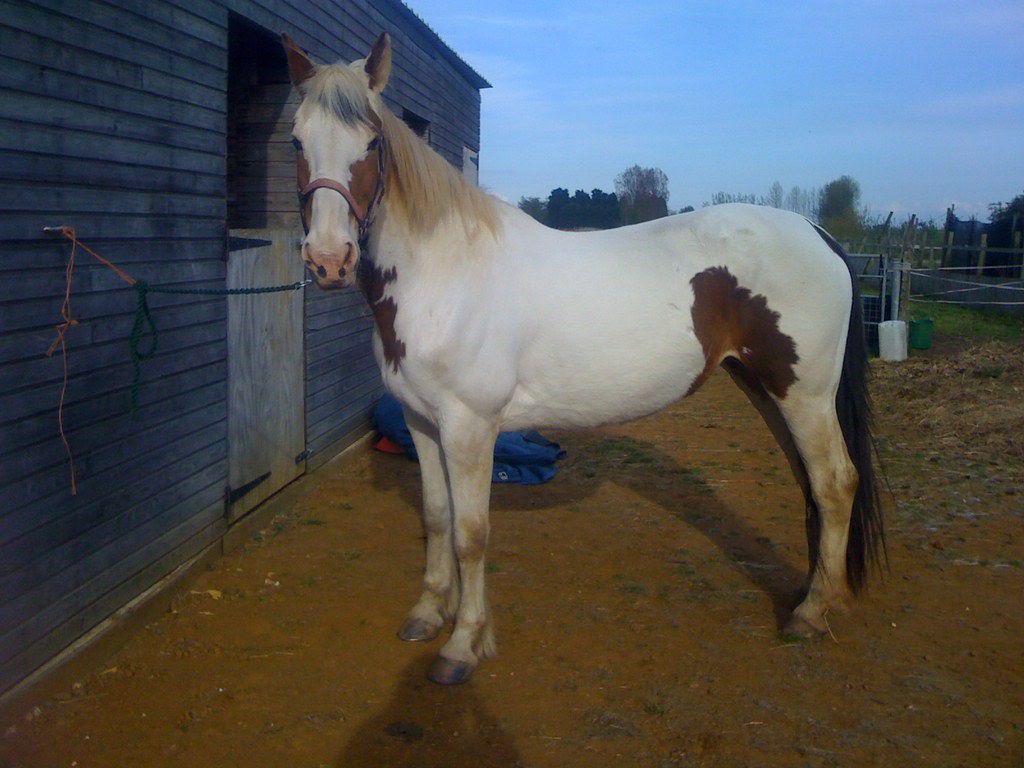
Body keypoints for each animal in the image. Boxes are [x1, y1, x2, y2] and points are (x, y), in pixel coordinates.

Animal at [281, 32, 884, 685]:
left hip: (805, 394)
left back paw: (812, 614)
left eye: (371, 143)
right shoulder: (420, 421)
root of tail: (818, 235)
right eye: (296, 140)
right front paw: (427, 613)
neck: (444, 273)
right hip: (767, 388)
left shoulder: (470, 427)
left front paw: (462, 645)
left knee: (835, 483)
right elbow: (437, 517)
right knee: (812, 486)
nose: (329, 260)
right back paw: (809, 594)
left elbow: (471, 533)